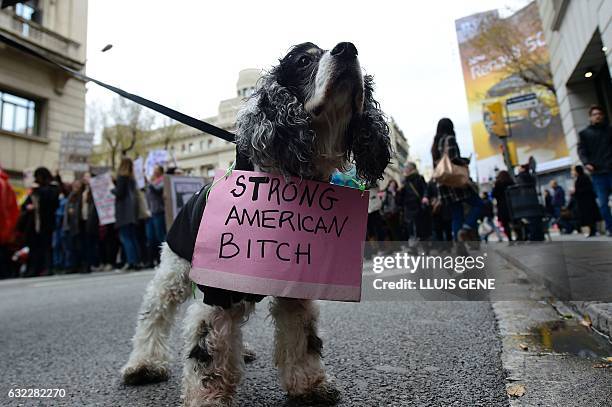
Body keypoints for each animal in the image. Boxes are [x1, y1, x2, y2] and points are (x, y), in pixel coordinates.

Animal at [120, 42, 392, 407]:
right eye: (303, 59)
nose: (347, 48)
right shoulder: (217, 292)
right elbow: (207, 351)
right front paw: (207, 397)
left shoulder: (296, 285)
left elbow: (303, 337)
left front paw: (310, 385)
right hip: (173, 272)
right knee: (154, 314)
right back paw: (144, 364)